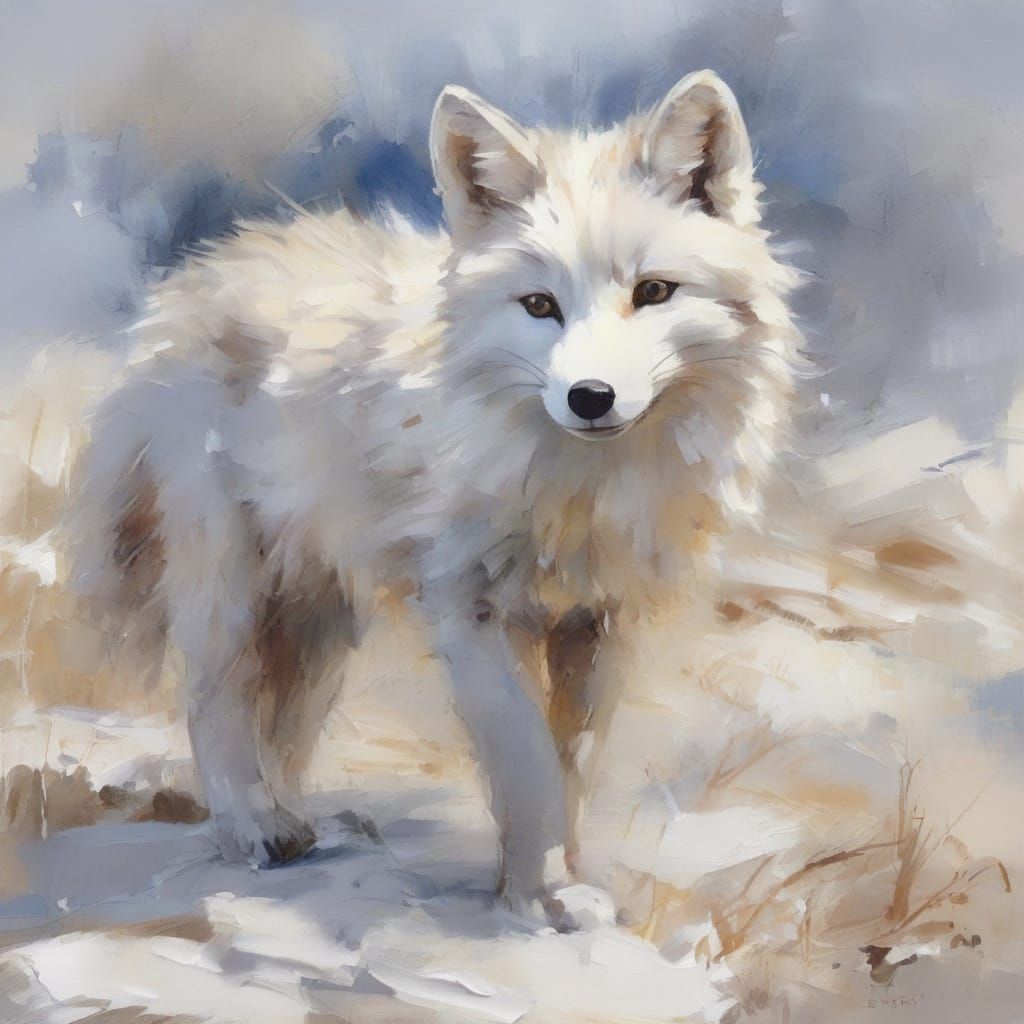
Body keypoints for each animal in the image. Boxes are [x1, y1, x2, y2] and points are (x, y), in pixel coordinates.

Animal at [67, 70, 802, 924]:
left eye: (653, 292)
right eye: (540, 305)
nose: (590, 398)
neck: (575, 489)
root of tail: (194, 280)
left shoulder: (600, 623)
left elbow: (573, 766)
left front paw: (560, 880)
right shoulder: (471, 613)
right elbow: (527, 765)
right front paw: (538, 896)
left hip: (319, 613)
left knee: (283, 719)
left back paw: (295, 819)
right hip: (235, 589)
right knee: (213, 701)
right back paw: (252, 827)